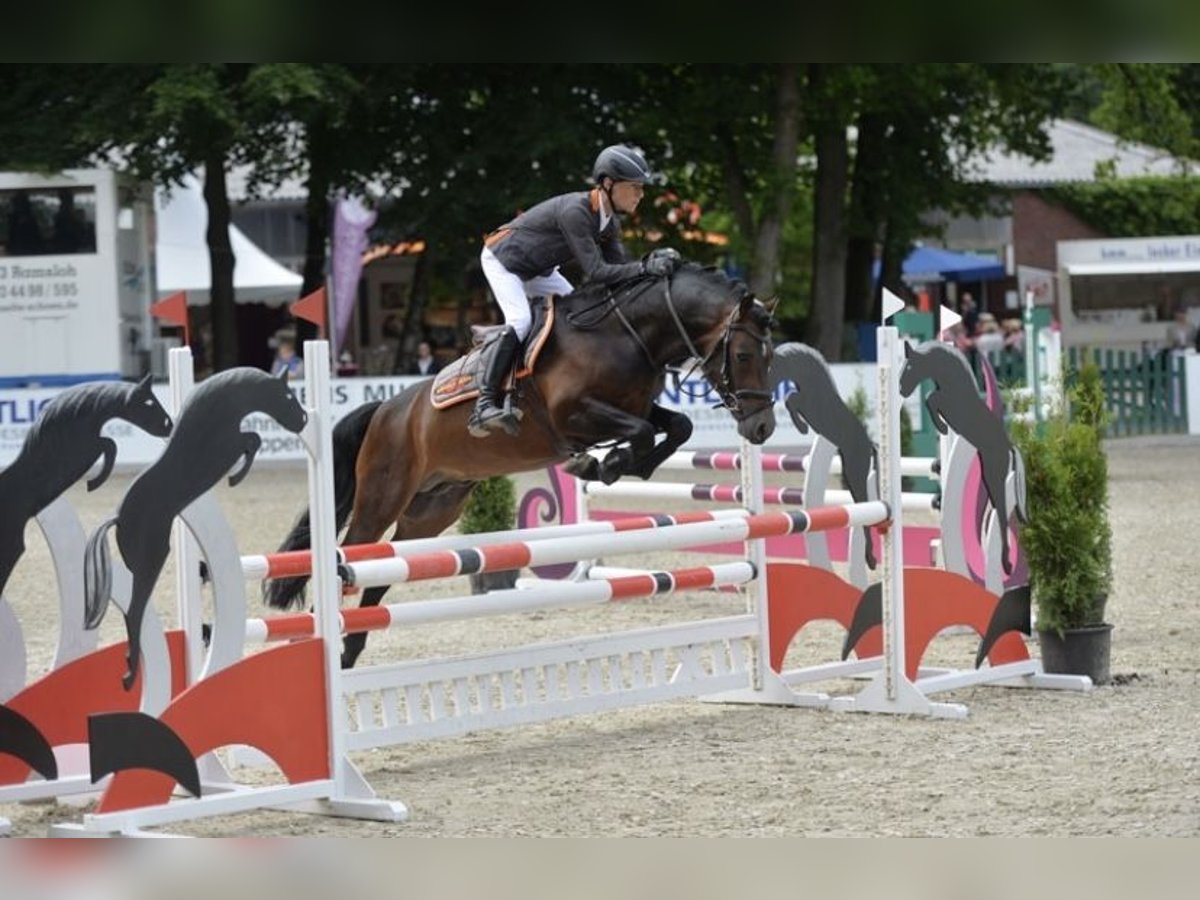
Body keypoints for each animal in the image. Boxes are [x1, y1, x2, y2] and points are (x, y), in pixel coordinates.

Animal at [0, 376, 174, 602]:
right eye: (148, 402)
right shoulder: (85, 450)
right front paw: (93, 483)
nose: (169, 425)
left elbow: (109, 443)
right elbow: (109, 444)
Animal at [83, 367, 309, 691]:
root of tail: (118, 519)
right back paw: (130, 673)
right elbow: (252, 439)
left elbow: (252, 440)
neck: (218, 413)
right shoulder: (229, 446)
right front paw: (236, 478)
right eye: (289, 396)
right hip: (152, 558)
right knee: (135, 610)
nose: (303, 419)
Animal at [265, 262, 777, 672]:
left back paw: (349, 651)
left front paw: (610, 465)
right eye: (744, 355)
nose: (762, 427)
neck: (627, 333)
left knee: (385, 570)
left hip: (431, 511)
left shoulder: (637, 407)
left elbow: (677, 426)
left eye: (771, 357)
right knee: (351, 556)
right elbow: (642, 432)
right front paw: (599, 463)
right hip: (382, 497)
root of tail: (387, 410)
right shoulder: (574, 414)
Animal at [772, 345, 878, 571]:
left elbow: (791, 399)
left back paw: (871, 559)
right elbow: (791, 398)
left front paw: (802, 428)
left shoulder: (806, 403)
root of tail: (870, 444)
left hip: (855, 471)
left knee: (864, 504)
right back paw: (870, 558)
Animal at [897, 340, 1027, 573]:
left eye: (910, 366)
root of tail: (1008, 446)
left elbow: (931, 399)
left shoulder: (947, 402)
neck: (952, 380)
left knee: (1002, 511)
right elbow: (931, 398)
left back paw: (1006, 562)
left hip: (993, 473)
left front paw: (941, 427)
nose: (901, 388)